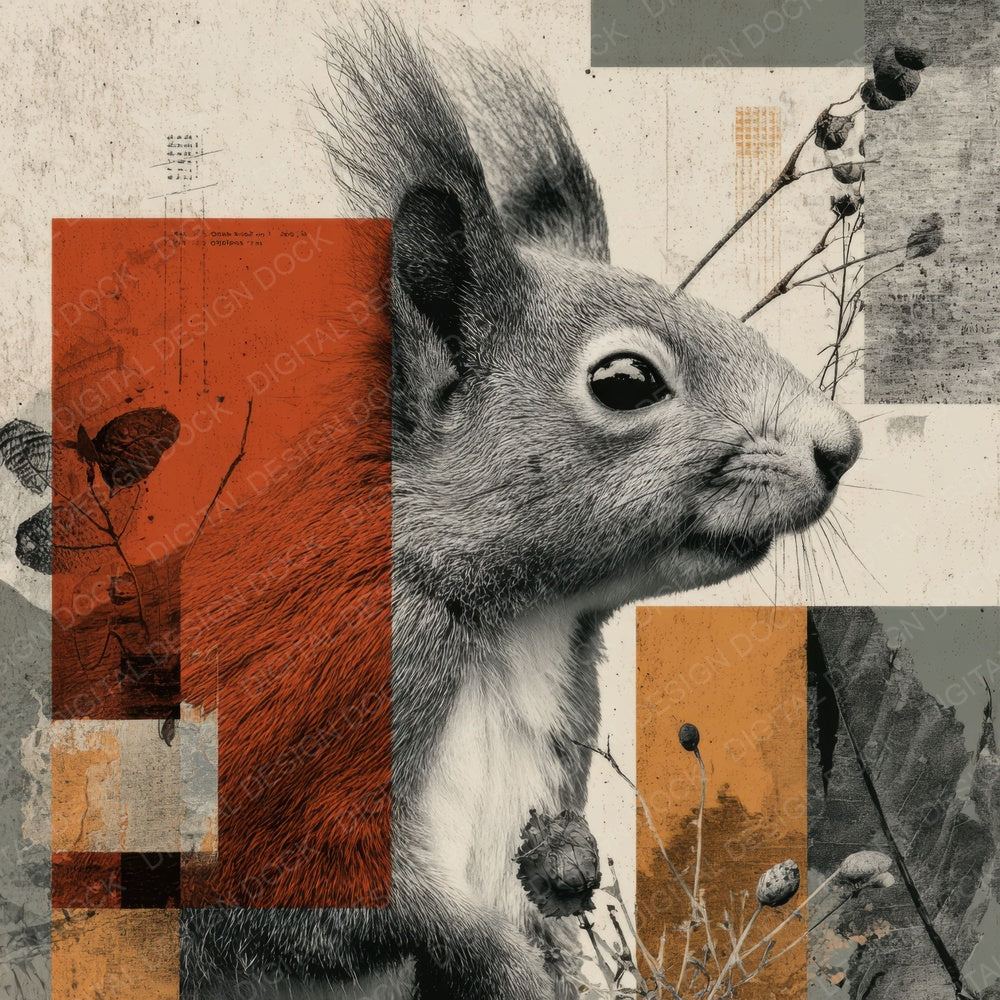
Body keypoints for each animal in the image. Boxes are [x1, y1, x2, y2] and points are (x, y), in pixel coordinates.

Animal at [180, 10, 861, 999]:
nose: (840, 445)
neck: (512, 622)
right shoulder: (313, 707)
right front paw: (499, 962)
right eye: (625, 381)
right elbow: (309, 895)